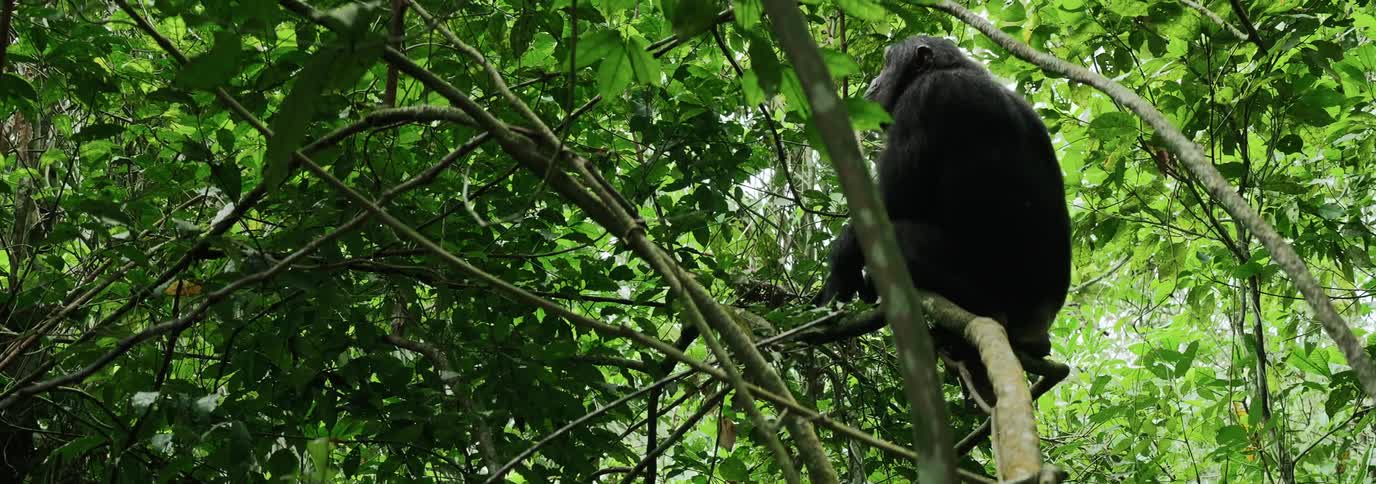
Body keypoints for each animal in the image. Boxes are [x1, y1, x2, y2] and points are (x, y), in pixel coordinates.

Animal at [813, 36, 1071, 391]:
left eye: (886, 62)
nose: (874, 81)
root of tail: (1039, 323)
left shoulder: (923, 99)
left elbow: (889, 205)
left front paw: (841, 263)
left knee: (900, 240)